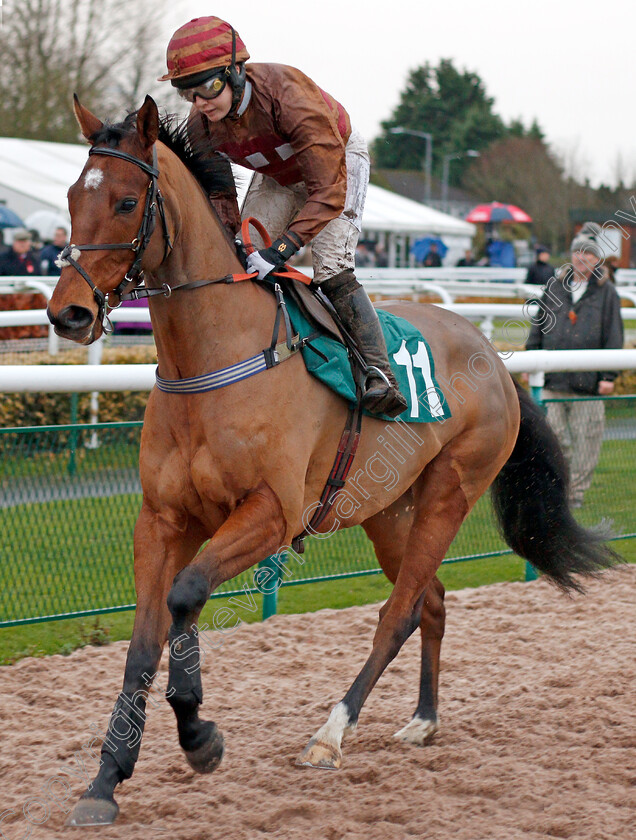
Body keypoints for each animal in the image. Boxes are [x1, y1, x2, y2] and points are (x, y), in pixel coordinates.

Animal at [47, 95, 620, 824]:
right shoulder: (163, 519)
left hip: (449, 492)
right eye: (72, 196)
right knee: (430, 600)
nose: (68, 313)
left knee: (399, 613)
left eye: (125, 202)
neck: (214, 359)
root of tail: (492, 357)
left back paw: (330, 734)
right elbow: (145, 638)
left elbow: (186, 595)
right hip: (387, 509)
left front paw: (200, 736)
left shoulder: (271, 513)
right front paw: (106, 779)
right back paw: (423, 719)